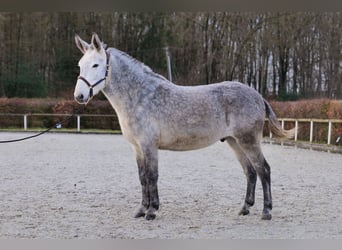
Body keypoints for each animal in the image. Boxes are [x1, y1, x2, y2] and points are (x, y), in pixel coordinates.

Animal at [74, 33, 294, 221]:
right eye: (80, 65)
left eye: (96, 64)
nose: (79, 96)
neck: (140, 96)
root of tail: (257, 96)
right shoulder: (137, 148)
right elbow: (142, 177)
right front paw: (141, 209)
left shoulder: (149, 146)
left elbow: (152, 176)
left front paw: (152, 211)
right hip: (235, 142)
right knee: (250, 172)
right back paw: (245, 208)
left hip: (248, 141)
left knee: (263, 170)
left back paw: (266, 211)